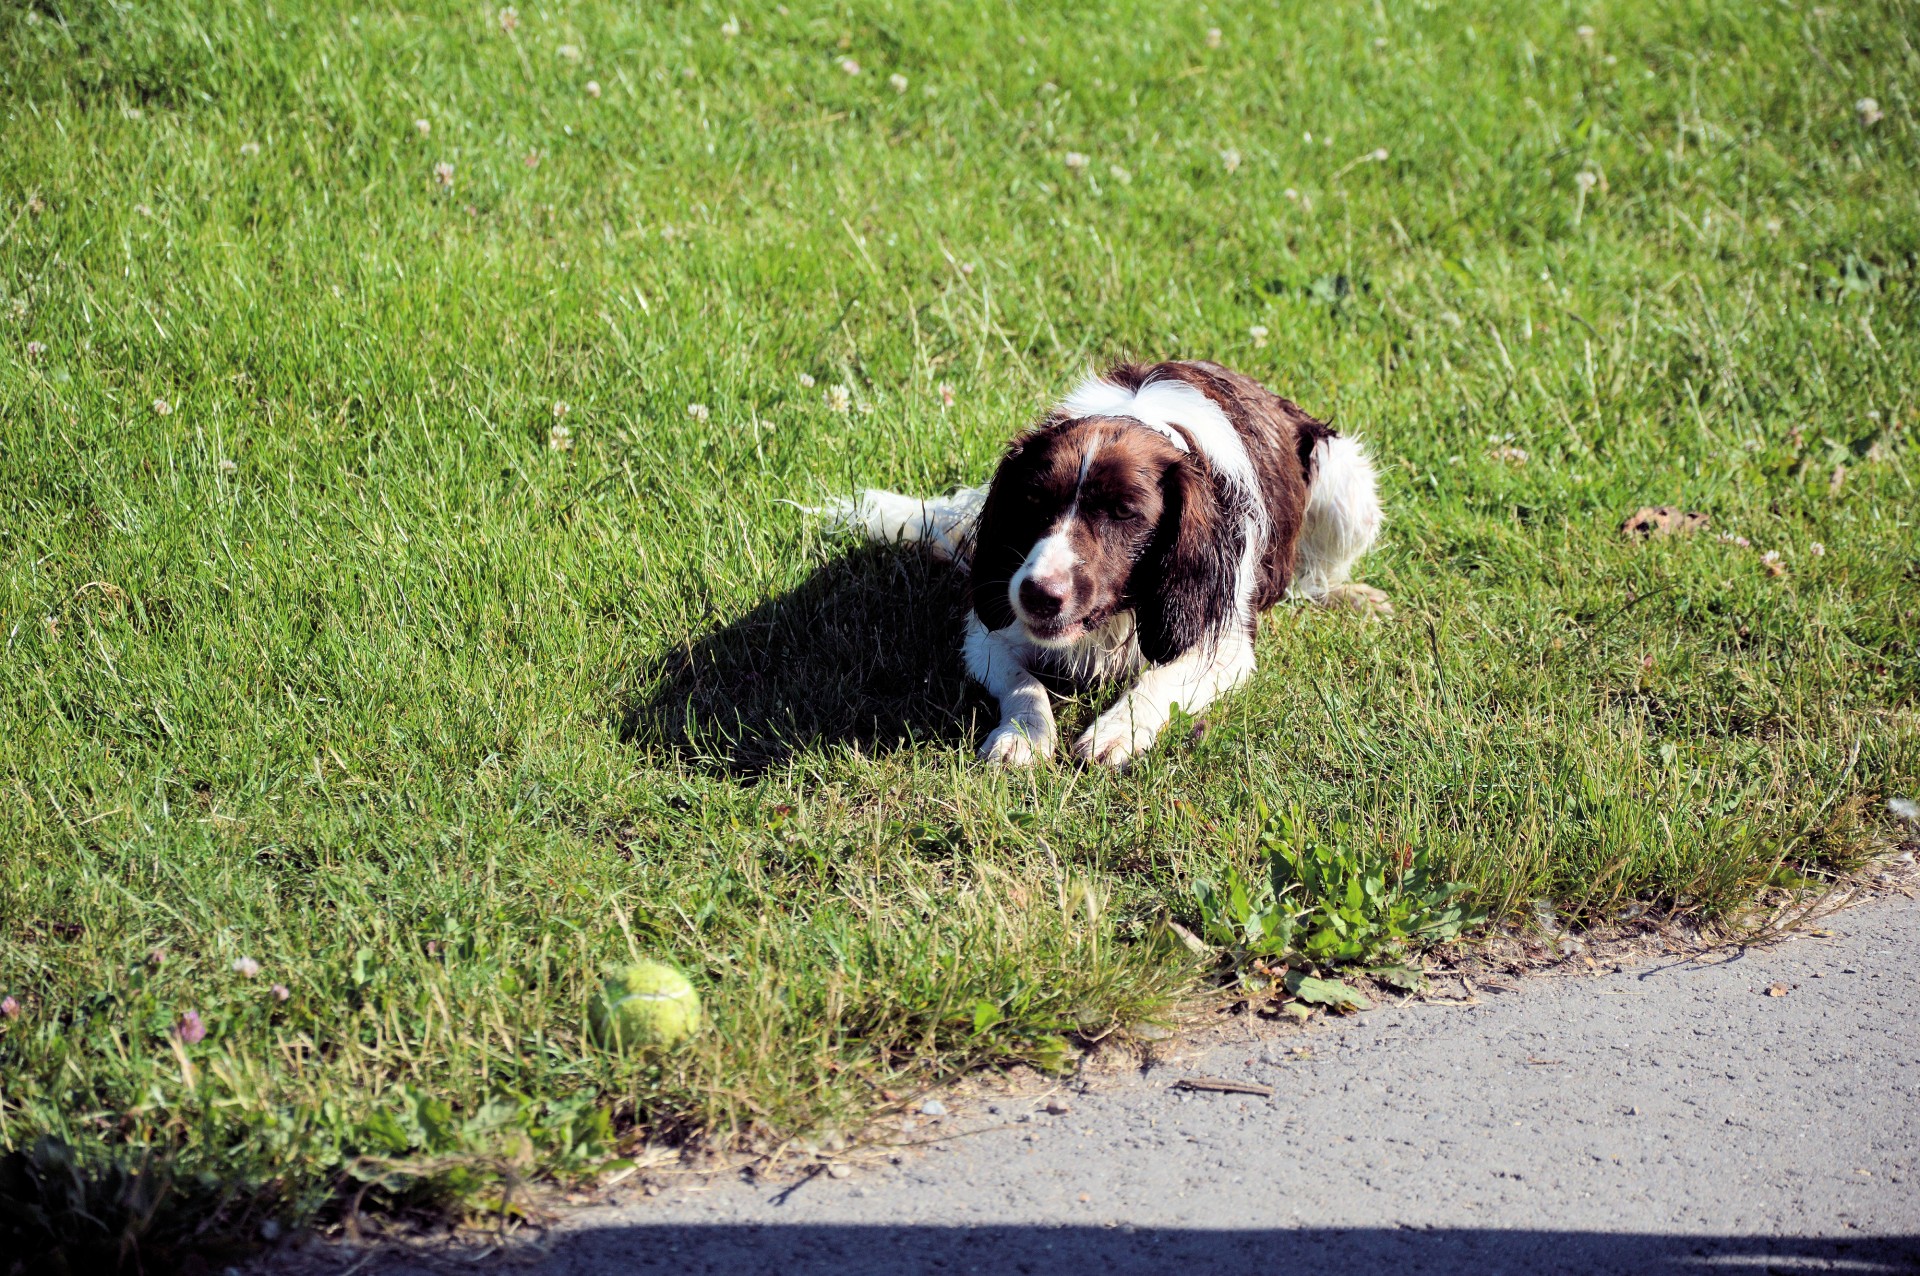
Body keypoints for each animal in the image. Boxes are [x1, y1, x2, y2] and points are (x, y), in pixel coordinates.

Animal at [825, 358, 1382, 767]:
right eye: (1032, 502)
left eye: (1124, 512)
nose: (1038, 595)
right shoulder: (988, 634)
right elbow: (1025, 686)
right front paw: (1022, 737)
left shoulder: (1223, 646)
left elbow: (1156, 680)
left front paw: (1115, 731)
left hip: (1347, 486)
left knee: (1313, 576)